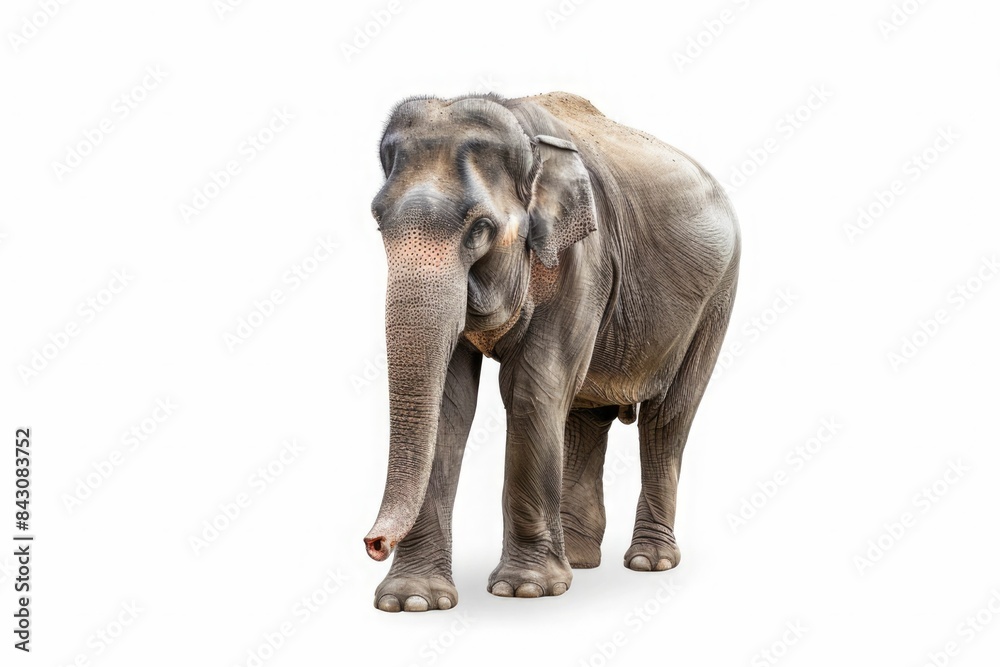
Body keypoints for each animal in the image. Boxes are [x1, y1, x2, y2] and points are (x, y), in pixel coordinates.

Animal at [363, 91, 740, 612]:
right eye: (379, 221)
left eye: (480, 228)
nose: (374, 544)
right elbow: (450, 403)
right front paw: (413, 601)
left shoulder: (584, 259)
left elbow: (530, 388)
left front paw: (525, 590)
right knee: (585, 415)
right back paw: (580, 561)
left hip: (716, 299)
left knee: (668, 418)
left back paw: (649, 561)